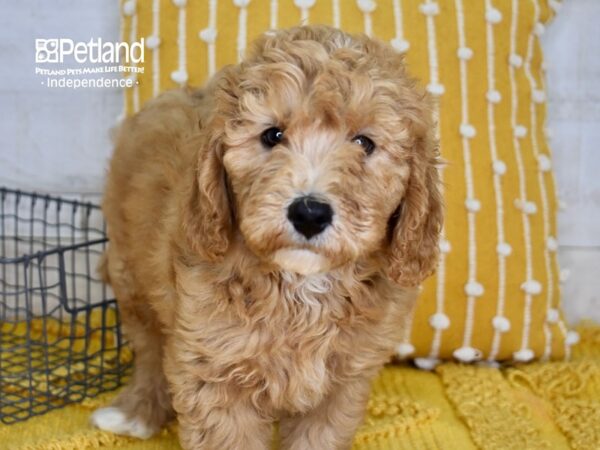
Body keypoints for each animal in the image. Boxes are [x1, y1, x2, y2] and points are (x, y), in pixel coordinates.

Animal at [92, 25, 440, 450]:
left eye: (364, 143)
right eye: (273, 136)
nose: (309, 213)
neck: (303, 287)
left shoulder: (343, 382)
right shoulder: (215, 371)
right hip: (131, 276)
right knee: (149, 348)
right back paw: (135, 413)